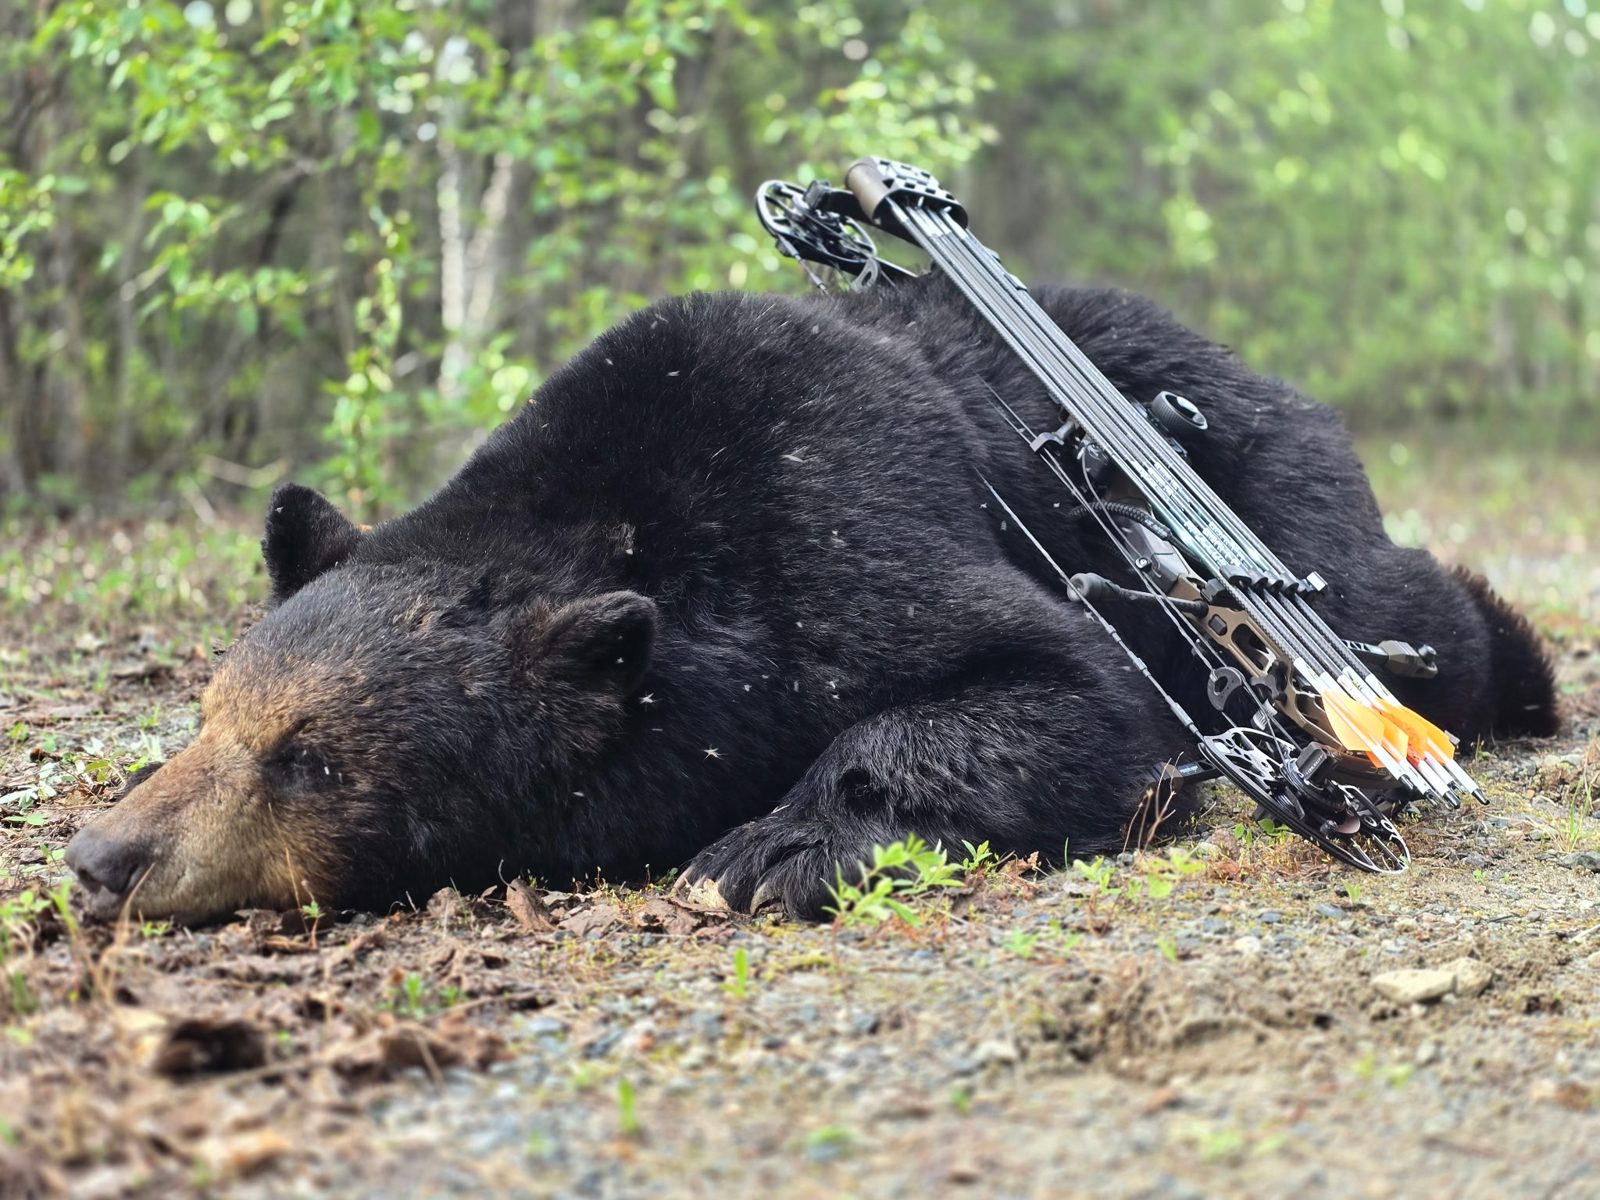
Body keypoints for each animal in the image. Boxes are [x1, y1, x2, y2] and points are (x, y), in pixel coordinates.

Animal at [64, 275, 1558, 923]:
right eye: (213, 713)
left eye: (310, 761)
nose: (101, 859)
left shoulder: (850, 520)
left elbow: (1071, 695)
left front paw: (766, 848)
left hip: (1283, 491)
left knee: (1401, 616)